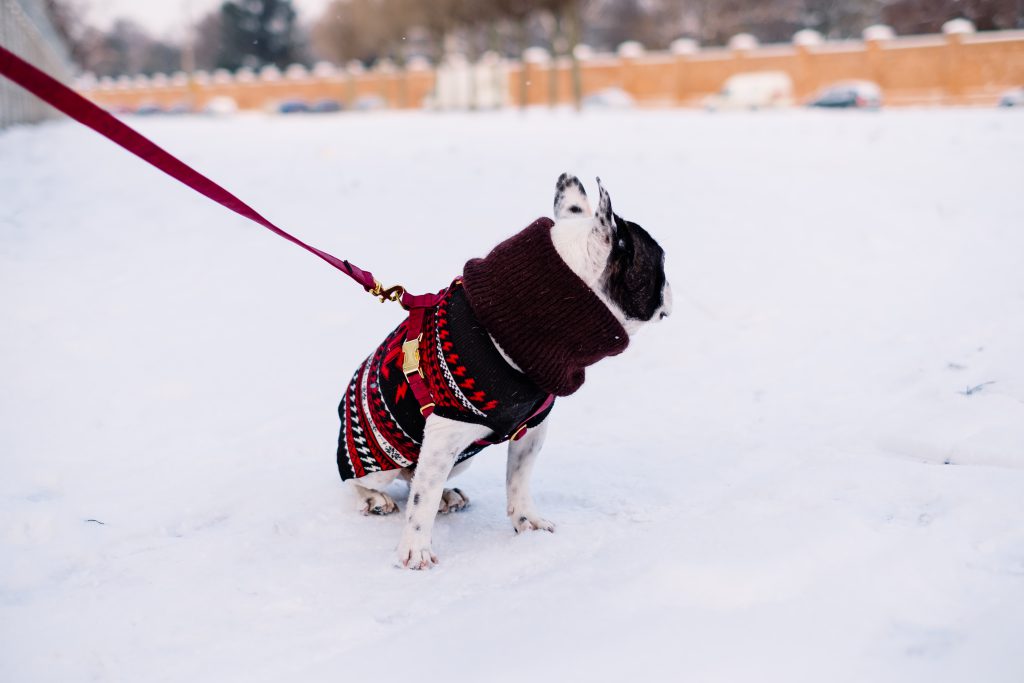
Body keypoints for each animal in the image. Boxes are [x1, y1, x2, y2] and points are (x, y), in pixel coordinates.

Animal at [335, 174, 671, 569]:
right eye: (661, 263)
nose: (670, 286)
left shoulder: (532, 427)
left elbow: (519, 478)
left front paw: (527, 522)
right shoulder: (443, 434)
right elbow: (421, 502)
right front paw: (415, 550)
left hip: (457, 461)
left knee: (416, 478)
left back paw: (448, 495)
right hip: (383, 462)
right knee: (367, 483)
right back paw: (373, 499)